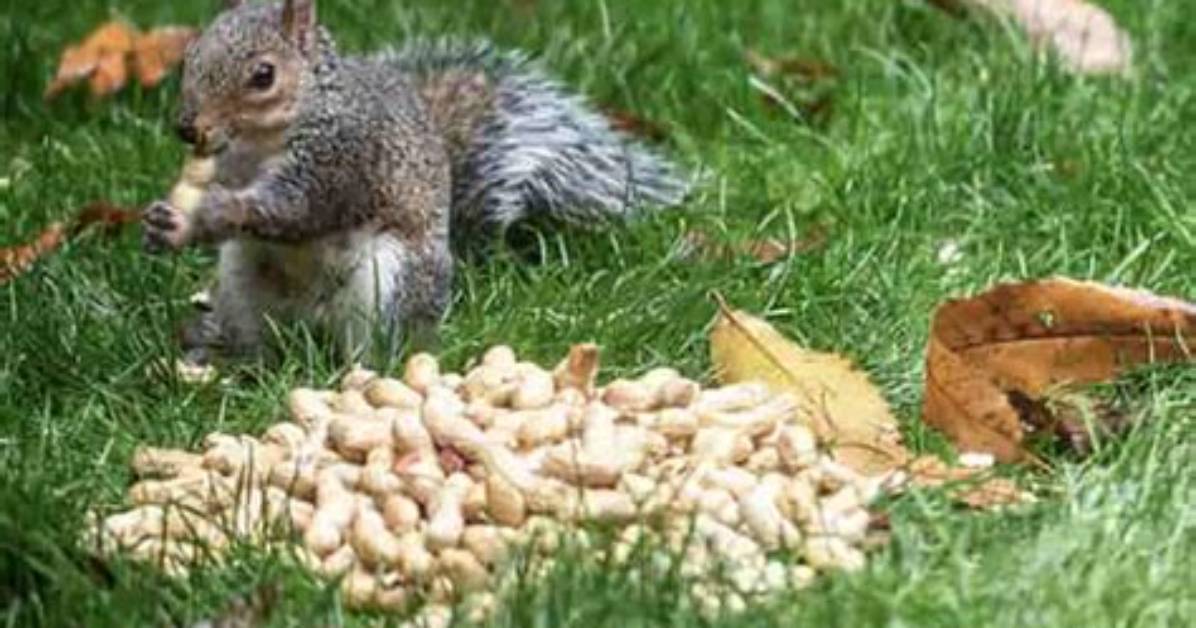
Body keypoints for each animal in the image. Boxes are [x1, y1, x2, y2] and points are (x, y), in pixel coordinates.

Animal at [142, 0, 689, 366]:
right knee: (263, 344)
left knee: (375, 350)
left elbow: (294, 209)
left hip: (389, 283)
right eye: (191, 55)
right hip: (243, 285)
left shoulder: (343, 159)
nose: (187, 127)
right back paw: (230, 362)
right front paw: (160, 220)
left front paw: (211, 212)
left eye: (263, 75)